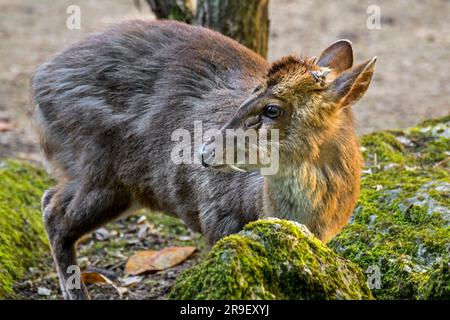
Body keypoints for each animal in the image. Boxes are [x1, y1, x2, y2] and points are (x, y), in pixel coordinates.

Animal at [32, 20, 376, 300]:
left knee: (52, 200)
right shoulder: (216, 215)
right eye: (252, 90)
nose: (204, 152)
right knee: (53, 210)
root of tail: (38, 83)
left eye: (272, 109)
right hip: (99, 166)